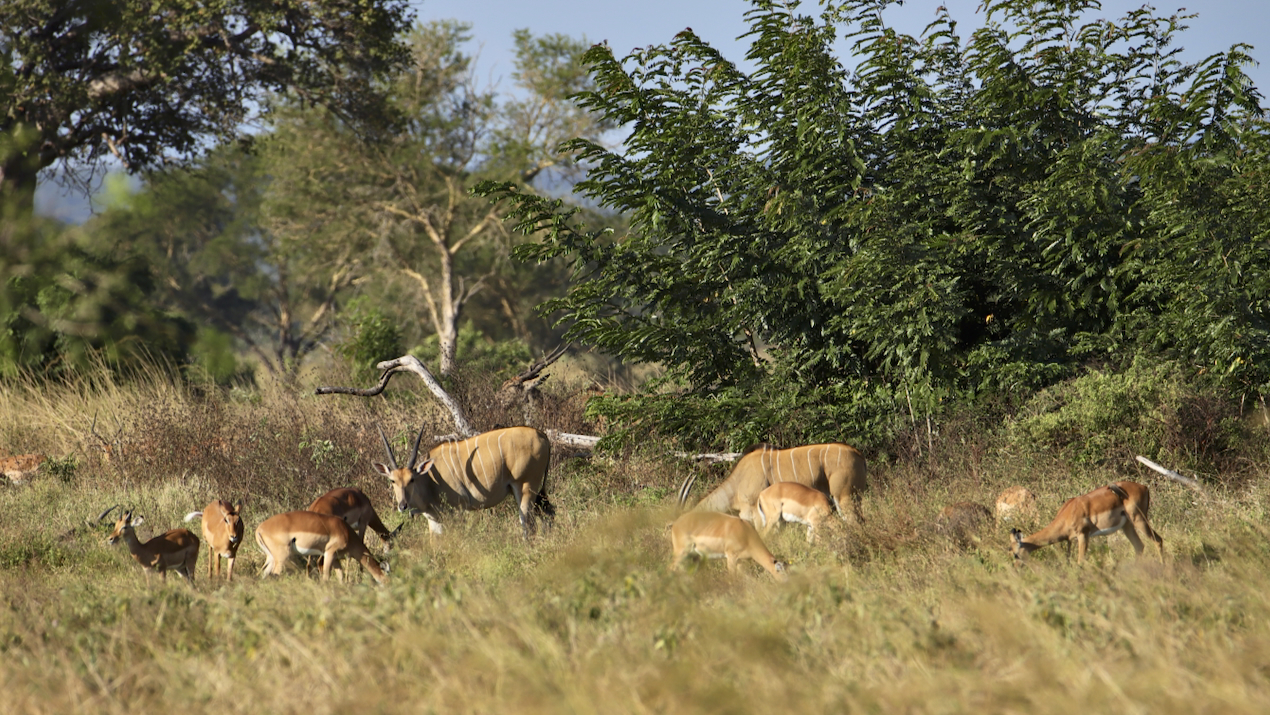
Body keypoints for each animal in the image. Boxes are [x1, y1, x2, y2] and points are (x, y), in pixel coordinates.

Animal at [251, 513, 381, 584]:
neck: (346, 532)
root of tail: (259, 529)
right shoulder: (329, 553)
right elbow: (326, 577)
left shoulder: (336, 559)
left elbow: (341, 577)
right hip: (281, 558)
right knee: (274, 575)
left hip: (271, 558)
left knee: (263, 575)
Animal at [375, 424, 556, 538]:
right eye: (392, 481)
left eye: (412, 479)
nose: (402, 505)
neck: (429, 480)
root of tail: (541, 435)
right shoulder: (434, 520)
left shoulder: (458, 510)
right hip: (537, 494)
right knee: (549, 514)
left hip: (525, 488)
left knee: (528, 525)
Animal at [1010, 480, 1163, 566]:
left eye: (1015, 554)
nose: (1017, 568)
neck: (1068, 513)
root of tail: (1145, 487)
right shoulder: (1070, 540)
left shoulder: (1083, 535)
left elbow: (1080, 562)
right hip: (1127, 526)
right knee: (1139, 546)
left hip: (1139, 519)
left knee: (1158, 540)